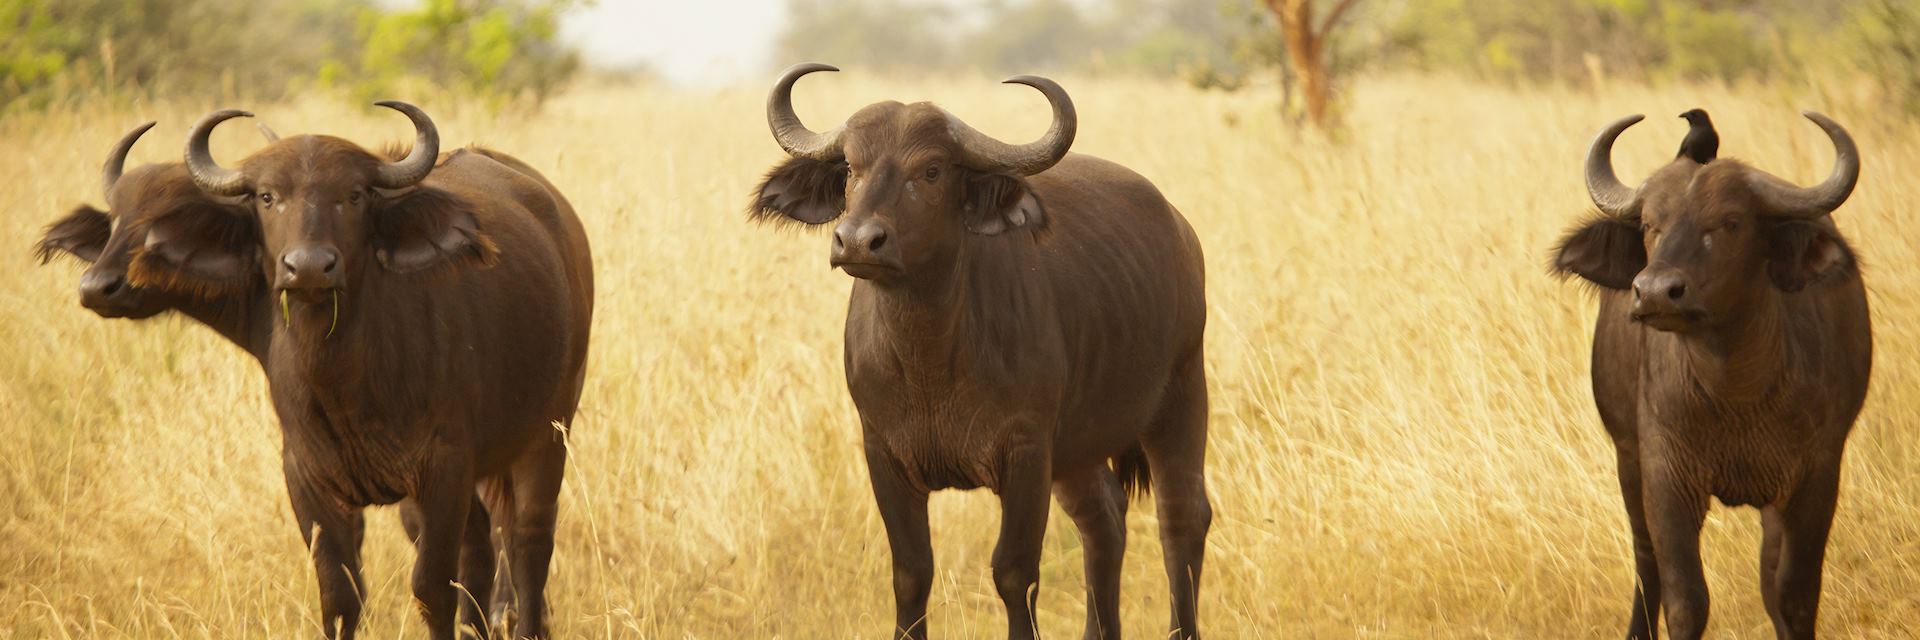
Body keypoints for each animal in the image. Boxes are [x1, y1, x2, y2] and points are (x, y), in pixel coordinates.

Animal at [744, 63, 1205, 638]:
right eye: (850, 166)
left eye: (933, 170)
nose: (856, 242)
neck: (931, 362)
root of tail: (1179, 228)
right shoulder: (883, 454)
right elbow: (911, 573)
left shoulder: (1027, 453)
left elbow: (1014, 574)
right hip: (1078, 449)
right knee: (1104, 516)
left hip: (1181, 395)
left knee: (1182, 518)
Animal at [1551, 111, 1866, 634]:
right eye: (1649, 224)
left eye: (1731, 222)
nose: (1655, 292)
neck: (1734, 392)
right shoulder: (1665, 476)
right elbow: (1686, 598)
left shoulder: (1816, 476)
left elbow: (1793, 594)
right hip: (1627, 459)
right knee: (1645, 562)